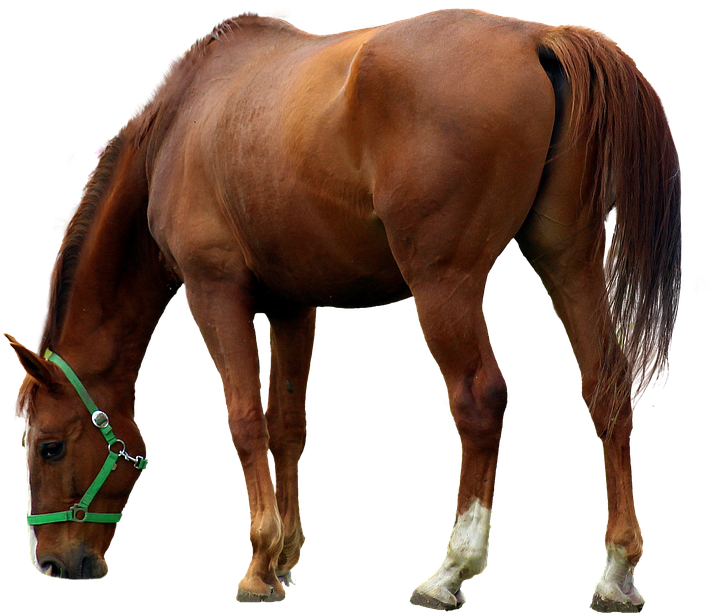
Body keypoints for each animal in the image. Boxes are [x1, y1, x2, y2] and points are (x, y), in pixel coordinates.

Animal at [5, 7, 680, 612]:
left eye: (50, 447)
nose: (53, 562)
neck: (181, 125)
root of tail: (537, 39)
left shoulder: (213, 290)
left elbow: (245, 421)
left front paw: (258, 565)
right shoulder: (291, 306)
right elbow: (287, 425)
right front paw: (284, 558)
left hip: (445, 284)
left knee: (479, 399)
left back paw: (450, 569)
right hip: (567, 261)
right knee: (607, 391)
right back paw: (616, 572)